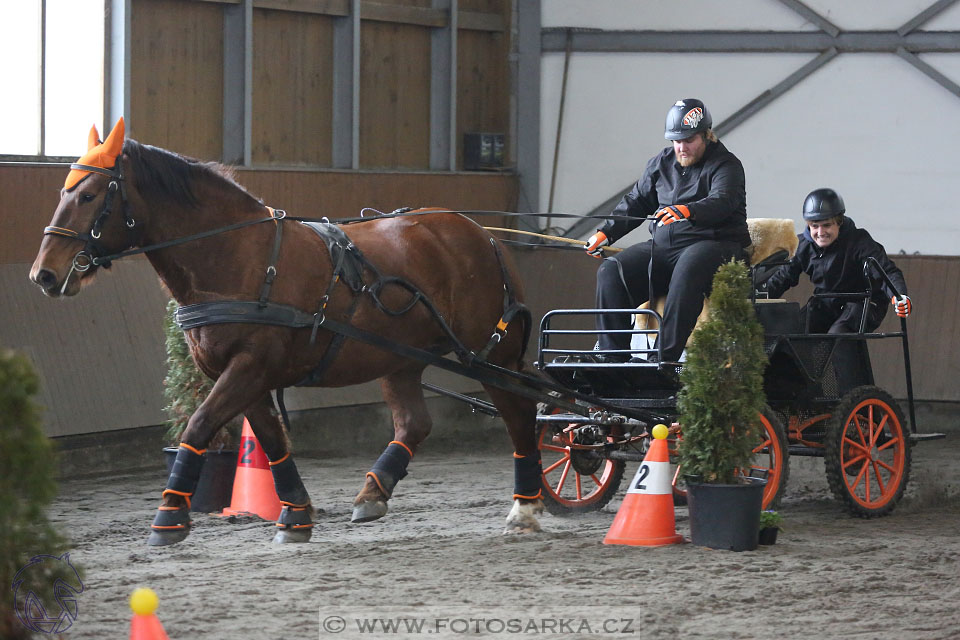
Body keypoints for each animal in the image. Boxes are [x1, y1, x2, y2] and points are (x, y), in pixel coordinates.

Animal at [30, 120, 544, 544]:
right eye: (63, 191)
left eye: (90, 195)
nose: (44, 274)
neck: (239, 255)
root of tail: (481, 233)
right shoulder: (246, 376)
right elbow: (272, 441)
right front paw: (295, 516)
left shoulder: (250, 367)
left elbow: (198, 424)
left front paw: (169, 516)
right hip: (402, 356)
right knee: (415, 422)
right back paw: (373, 494)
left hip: (491, 355)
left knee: (520, 413)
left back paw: (526, 507)